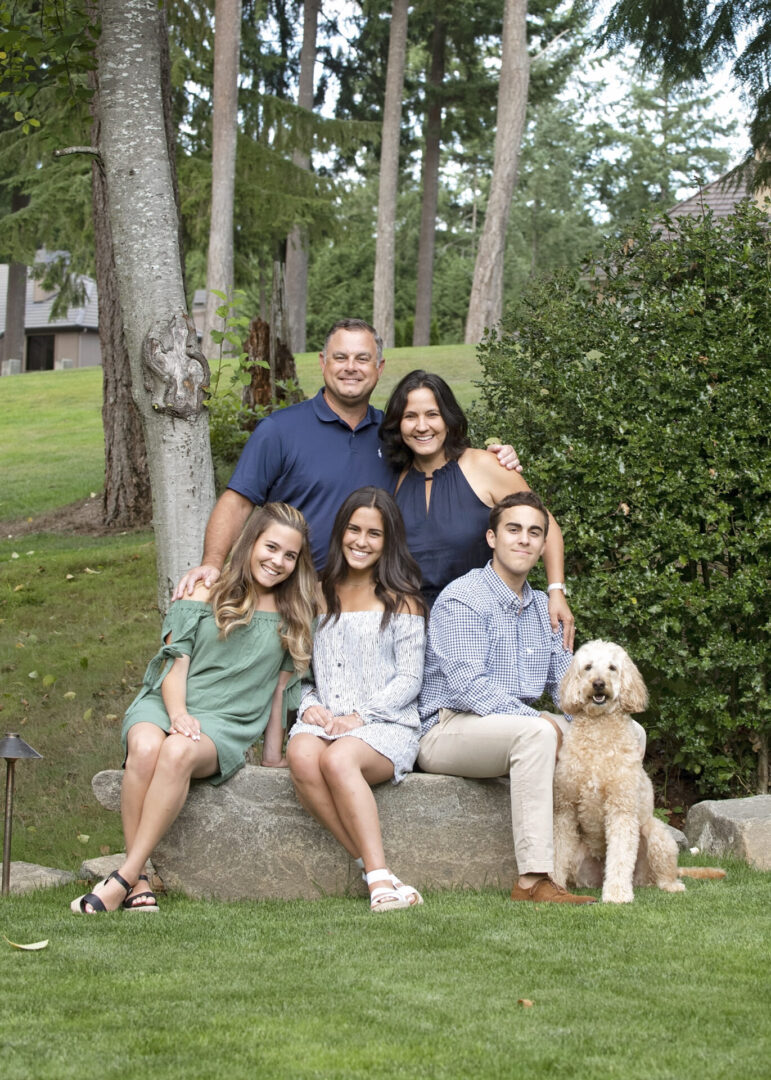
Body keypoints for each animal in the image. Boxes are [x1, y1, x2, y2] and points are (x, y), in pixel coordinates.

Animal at [552, 639, 686, 902]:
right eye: (588, 667)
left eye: (612, 667)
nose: (598, 683)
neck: (599, 730)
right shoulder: (565, 809)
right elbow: (558, 852)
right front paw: (553, 884)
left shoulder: (621, 808)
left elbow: (621, 857)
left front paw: (616, 894)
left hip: (658, 835)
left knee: (665, 873)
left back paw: (671, 885)